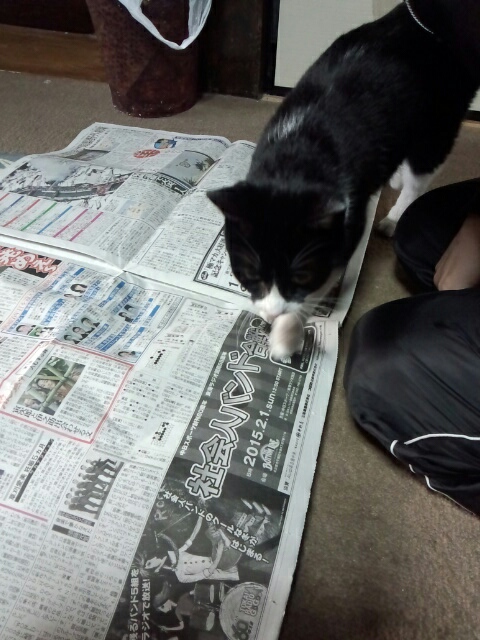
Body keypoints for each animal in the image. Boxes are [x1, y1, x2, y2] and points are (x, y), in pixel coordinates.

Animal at [207, 2, 479, 359]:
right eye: (251, 274)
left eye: (302, 275)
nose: (272, 313)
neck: (293, 162)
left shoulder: (348, 221)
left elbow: (319, 283)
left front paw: (285, 337)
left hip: (439, 119)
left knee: (422, 170)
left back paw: (395, 216)